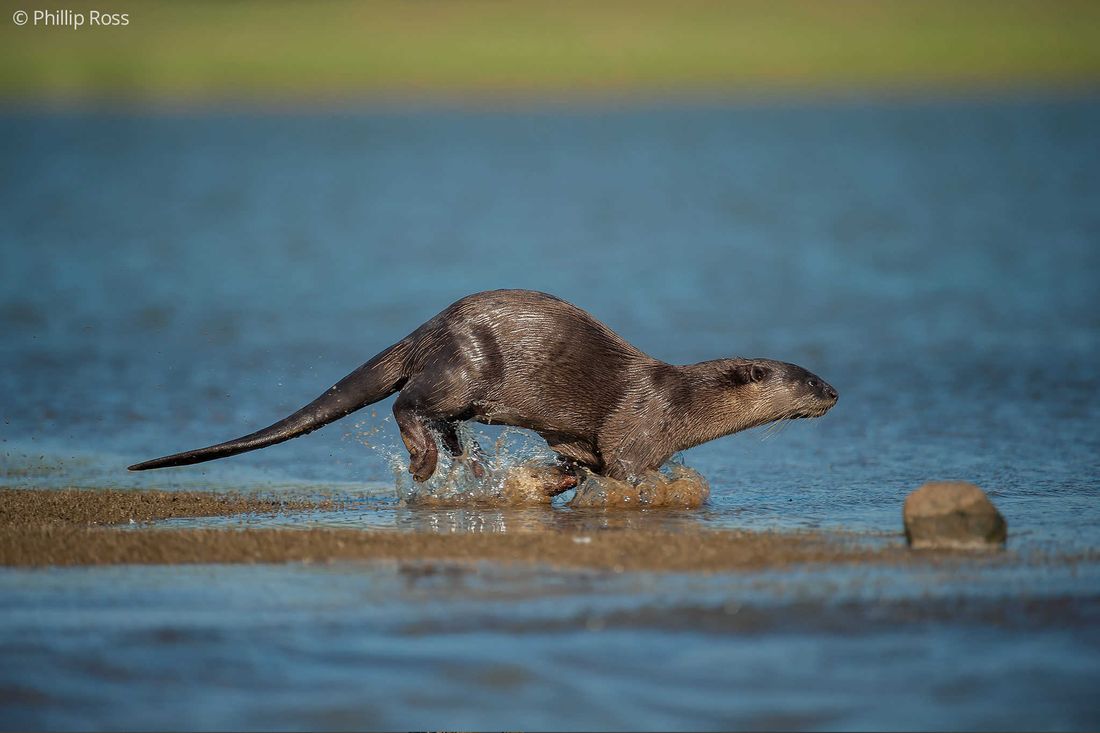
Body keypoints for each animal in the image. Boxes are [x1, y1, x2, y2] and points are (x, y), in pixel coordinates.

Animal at [129, 290, 838, 486]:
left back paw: (464, 462)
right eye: (806, 379)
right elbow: (626, 465)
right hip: (465, 367)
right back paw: (426, 463)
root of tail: (430, 326)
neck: (683, 402)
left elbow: (579, 456)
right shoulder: (639, 423)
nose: (835, 392)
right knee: (407, 402)